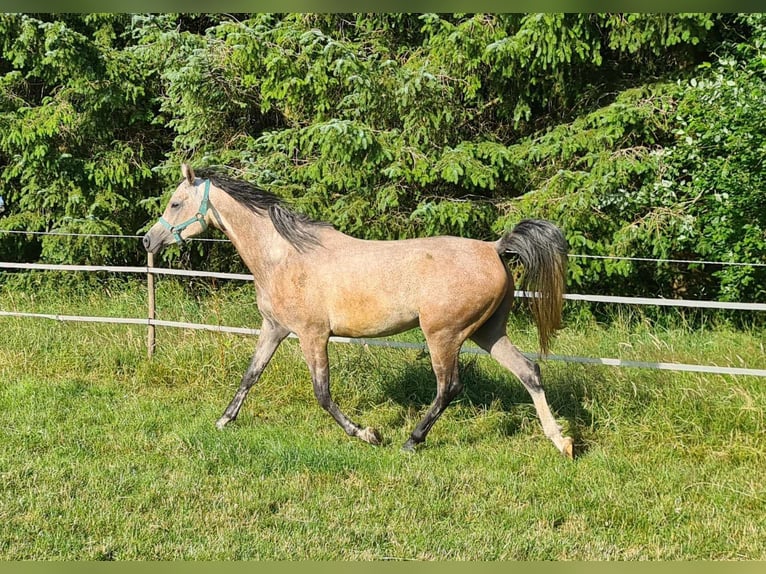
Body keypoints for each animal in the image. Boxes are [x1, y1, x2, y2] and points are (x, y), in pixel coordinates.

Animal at [144, 165, 572, 460]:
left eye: (175, 202)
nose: (148, 239)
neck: (284, 256)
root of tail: (493, 248)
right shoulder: (274, 328)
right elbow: (251, 375)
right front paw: (223, 420)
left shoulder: (312, 334)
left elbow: (322, 393)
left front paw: (368, 434)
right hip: (488, 332)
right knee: (529, 371)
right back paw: (561, 441)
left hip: (444, 334)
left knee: (449, 387)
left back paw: (410, 441)